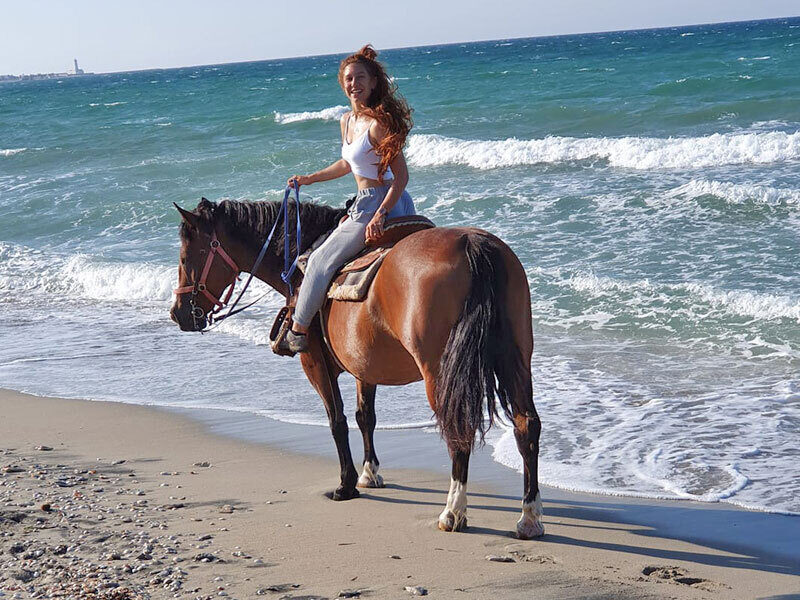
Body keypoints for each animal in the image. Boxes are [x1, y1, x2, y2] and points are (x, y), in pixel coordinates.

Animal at [170, 197, 544, 539]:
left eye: (186, 257)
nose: (179, 313)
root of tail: (472, 243)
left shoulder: (314, 362)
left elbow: (337, 421)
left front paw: (346, 484)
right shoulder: (365, 365)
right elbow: (366, 417)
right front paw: (370, 473)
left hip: (440, 373)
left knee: (458, 430)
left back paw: (453, 512)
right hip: (516, 360)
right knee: (527, 426)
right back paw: (528, 517)